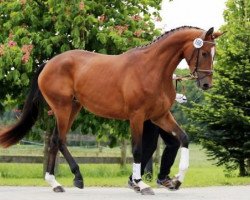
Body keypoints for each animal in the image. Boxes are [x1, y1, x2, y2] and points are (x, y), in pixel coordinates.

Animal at [0, 25, 223, 195]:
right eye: (204, 52)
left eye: (214, 54)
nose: (206, 84)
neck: (153, 69)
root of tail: (48, 64)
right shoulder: (137, 116)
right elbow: (138, 149)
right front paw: (141, 184)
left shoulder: (160, 116)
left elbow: (183, 138)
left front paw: (176, 180)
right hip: (62, 107)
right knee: (58, 140)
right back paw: (68, 180)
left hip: (73, 107)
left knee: (57, 140)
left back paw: (61, 181)